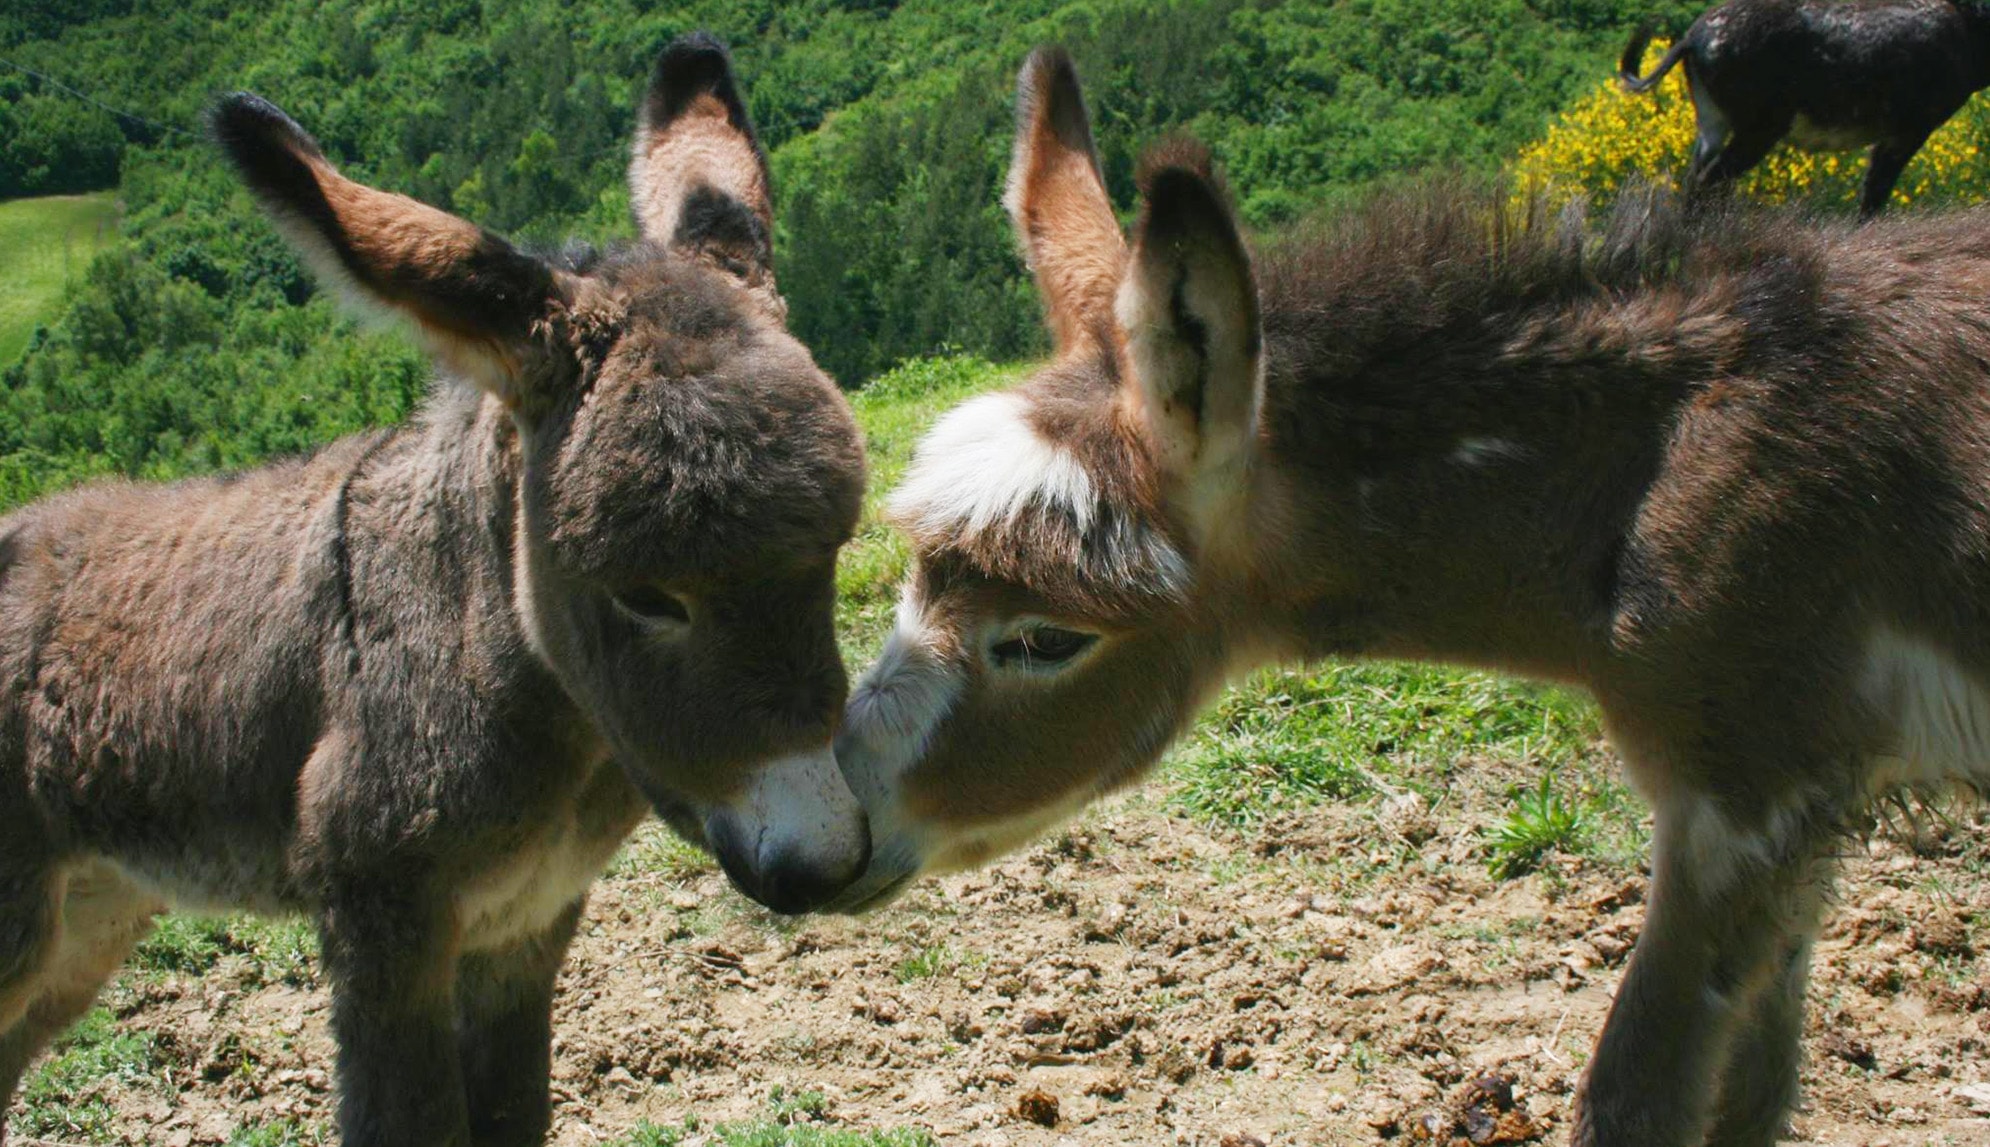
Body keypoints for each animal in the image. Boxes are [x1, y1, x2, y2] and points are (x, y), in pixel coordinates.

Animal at [1, 33, 871, 1147]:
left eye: (836, 547)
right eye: (644, 596)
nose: (823, 863)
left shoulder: (525, 927)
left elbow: (512, 1113)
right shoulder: (386, 930)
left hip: (83, 923)